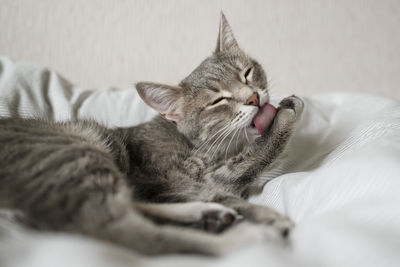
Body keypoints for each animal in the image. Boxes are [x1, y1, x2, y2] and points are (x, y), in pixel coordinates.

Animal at [0, 13, 304, 256]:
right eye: (218, 100)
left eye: (247, 73)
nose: (254, 98)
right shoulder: (186, 178)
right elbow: (248, 164)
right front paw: (286, 116)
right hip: (79, 153)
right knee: (124, 232)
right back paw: (246, 235)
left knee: (134, 207)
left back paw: (207, 216)